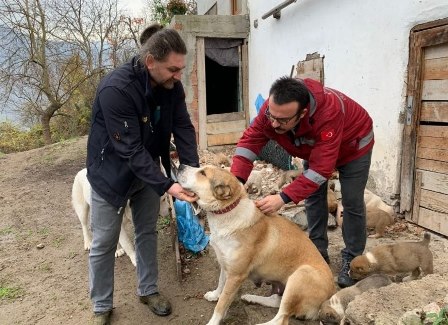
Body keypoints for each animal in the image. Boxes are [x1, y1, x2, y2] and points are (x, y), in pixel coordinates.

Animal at [177, 165, 334, 324]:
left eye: (203, 173)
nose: (180, 166)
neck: (228, 212)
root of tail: (330, 294)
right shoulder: (225, 263)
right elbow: (221, 283)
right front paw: (215, 295)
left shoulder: (236, 276)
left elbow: (221, 304)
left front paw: (213, 320)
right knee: (276, 302)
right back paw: (250, 298)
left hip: (300, 275)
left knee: (281, 319)